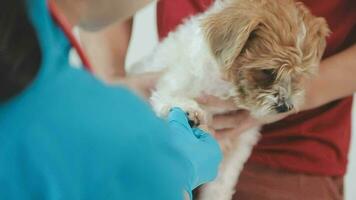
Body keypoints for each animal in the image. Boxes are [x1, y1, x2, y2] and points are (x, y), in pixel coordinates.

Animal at [129, 0, 330, 199]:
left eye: (298, 75)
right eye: (268, 71)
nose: (285, 107)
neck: (225, 88)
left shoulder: (237, 146)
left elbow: (220, 186)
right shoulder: (169, 87)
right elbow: (170, 99)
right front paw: (189, 112)